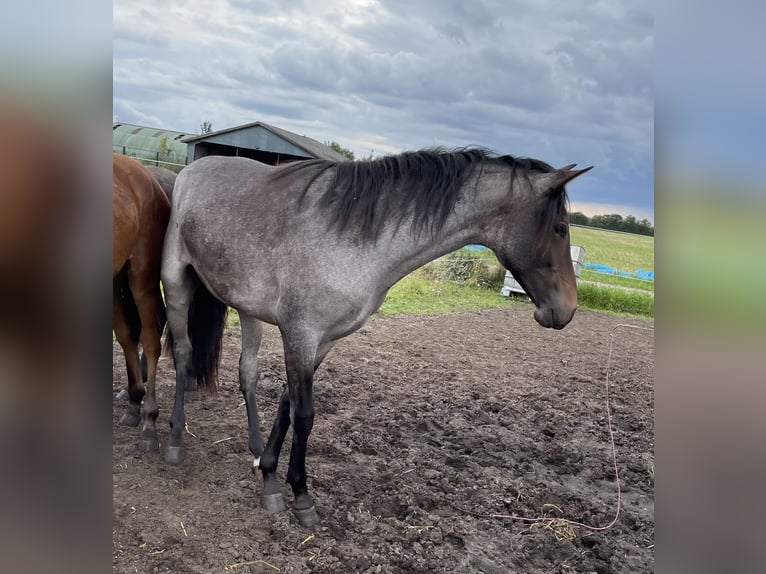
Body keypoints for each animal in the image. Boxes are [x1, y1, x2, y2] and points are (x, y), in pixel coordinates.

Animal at [161, 147, 592, 526]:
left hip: (249, 310)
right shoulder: (300, 333)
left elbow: (286, 402)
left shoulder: (322, 341)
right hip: (177, 283)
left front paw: (268, 475)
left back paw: (251, 450)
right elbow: (304, 414)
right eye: (560, 228)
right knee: (182, 353)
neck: (356, 240)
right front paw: (301, 497)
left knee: (246, 372)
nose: (566, 310)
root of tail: (194, 168)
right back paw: (173, 439)